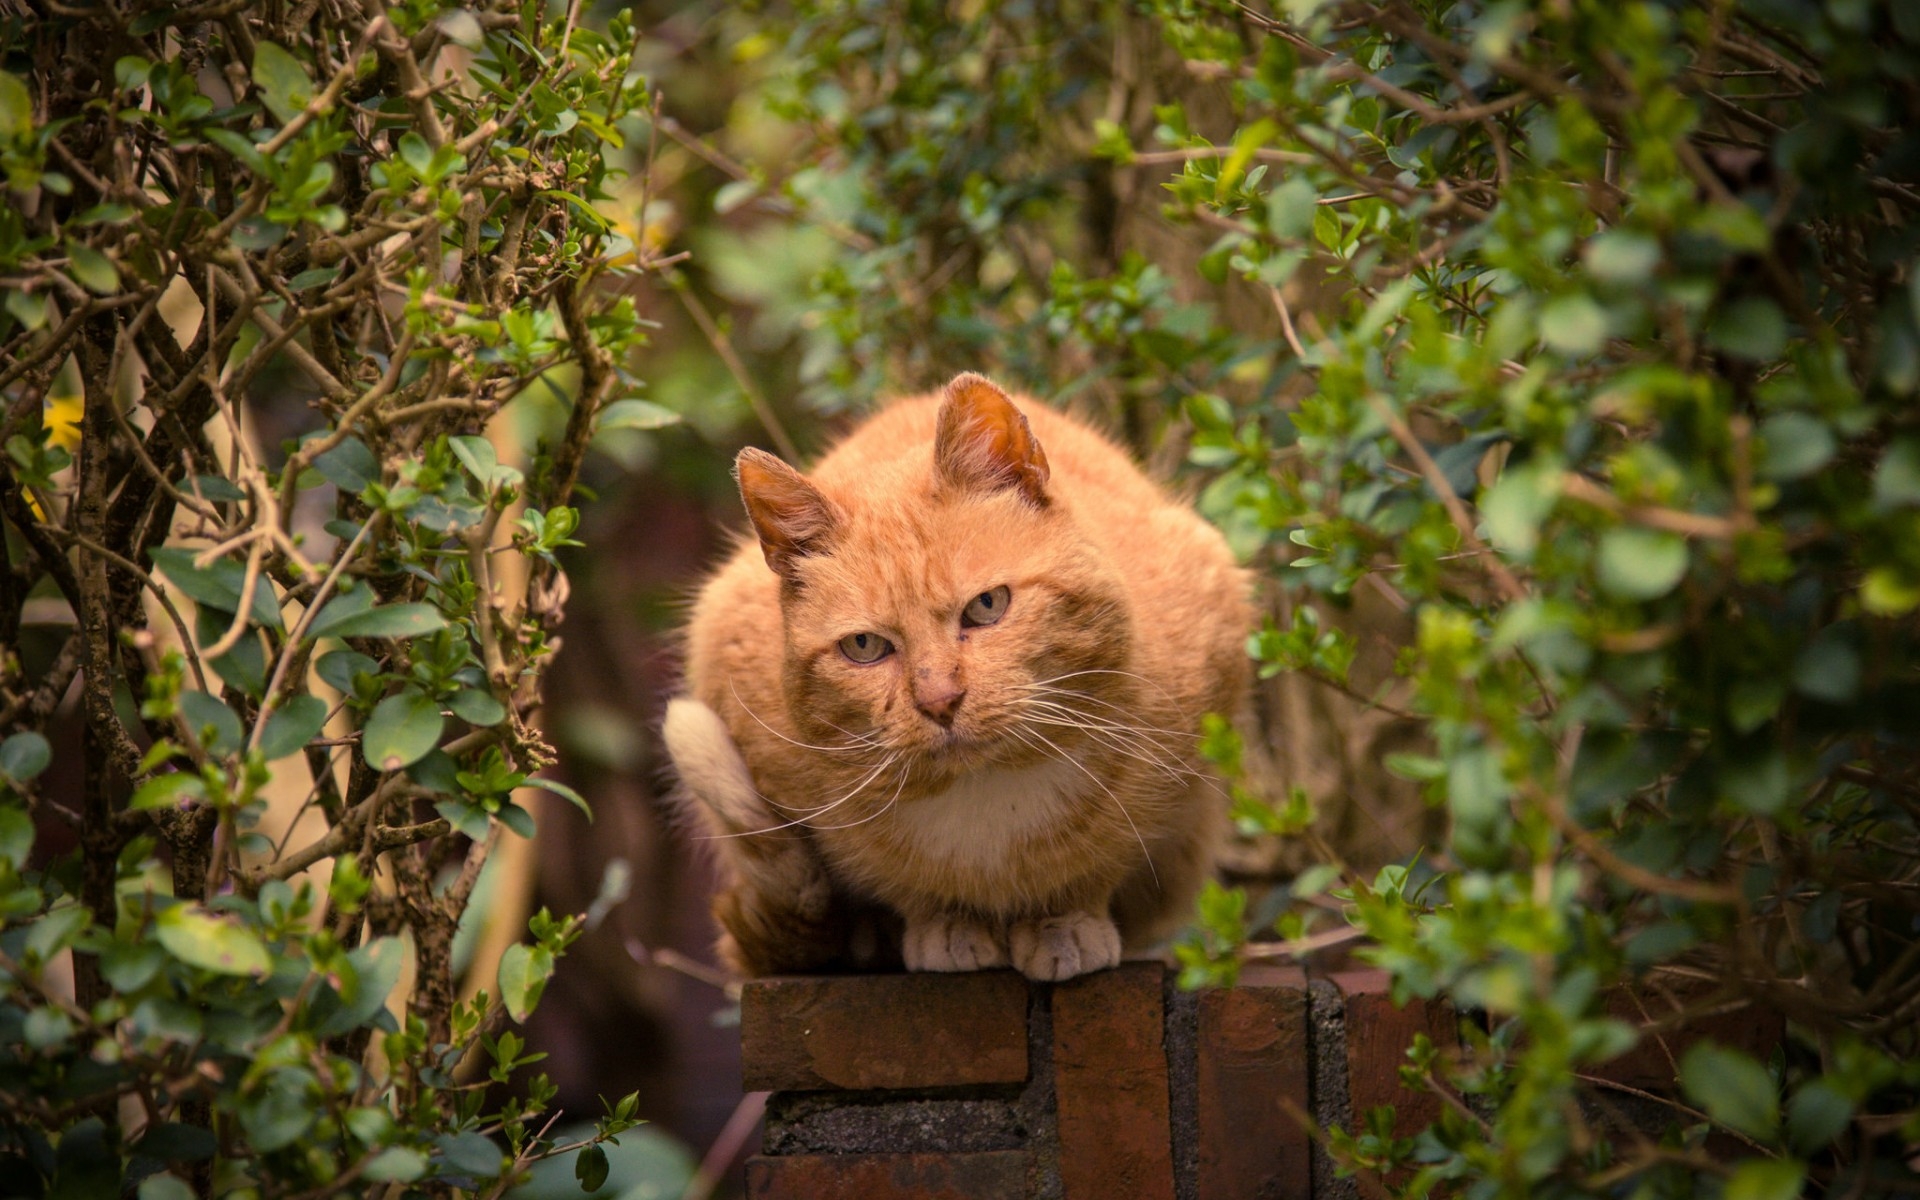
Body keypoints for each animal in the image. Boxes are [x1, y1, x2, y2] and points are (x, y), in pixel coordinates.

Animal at [668, 374, 1251, 983]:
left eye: (987, 606)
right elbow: (905, 886)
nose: (939, 700)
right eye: (864, 647)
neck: (987, 797)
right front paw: (947, 925)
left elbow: (1099, 861)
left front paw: (1063, 923)